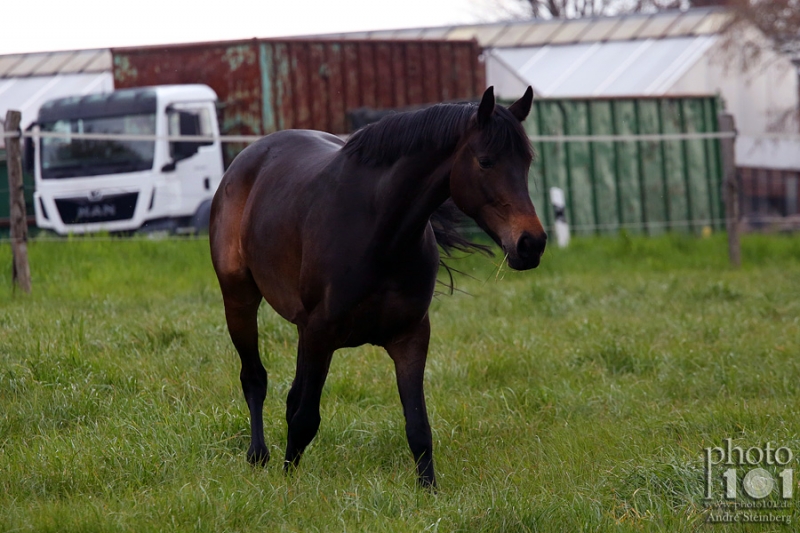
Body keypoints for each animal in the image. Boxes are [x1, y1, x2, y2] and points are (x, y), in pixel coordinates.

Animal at [209, 86, 548, 486]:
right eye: (485, 161)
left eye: (526, 161)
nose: (531, 244)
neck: (378, 231)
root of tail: (246, 158)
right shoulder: (320, 332)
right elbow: (304, 418)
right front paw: (289, 481)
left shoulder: (410, 337)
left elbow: (418, 427)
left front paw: (428, 490)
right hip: (240, 299)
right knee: (255, 378)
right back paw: (258, 455)